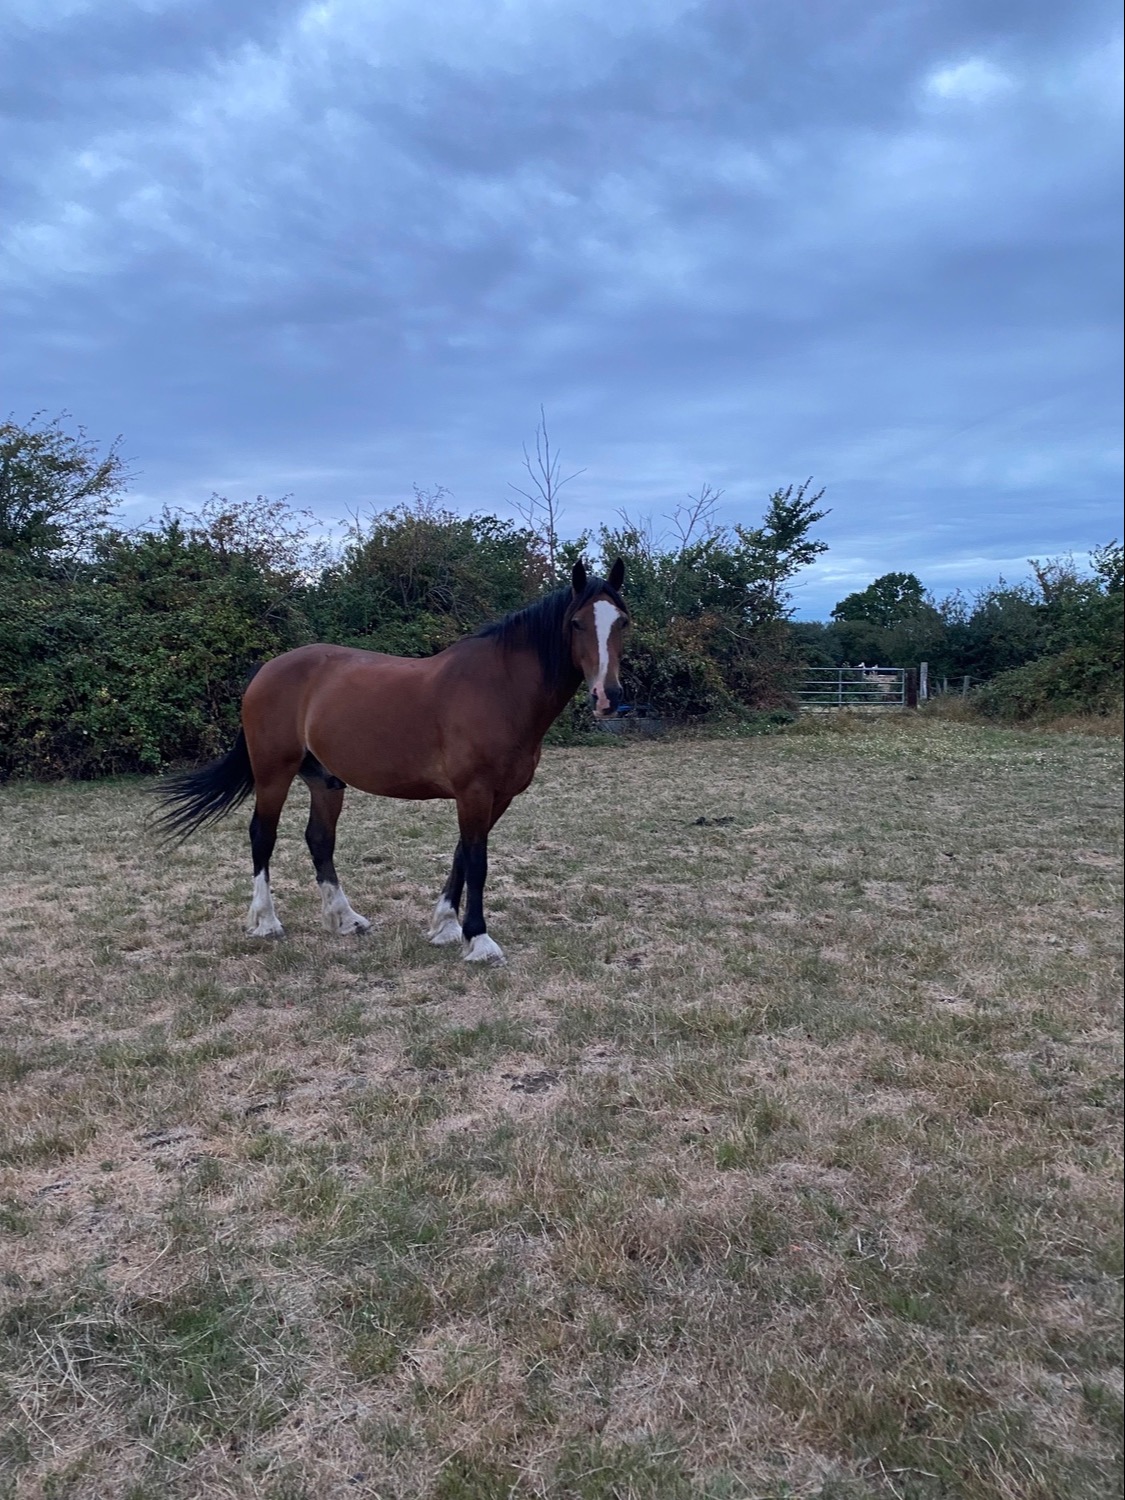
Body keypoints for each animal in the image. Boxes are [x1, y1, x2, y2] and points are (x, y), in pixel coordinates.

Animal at [155, 559, 628, 963]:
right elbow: (477, 860)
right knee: (262, 835)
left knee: (319, 840)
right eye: (577, 623)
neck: (500, 690)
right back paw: (266, 922)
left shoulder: (498, 796)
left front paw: (445, 926)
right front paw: (478, 940)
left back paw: (345, 919)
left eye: (622, 621)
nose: (607, 697)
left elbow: (461, 854)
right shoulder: (474, 792)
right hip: (273, 772)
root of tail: (267, 670)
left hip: (325, 780)